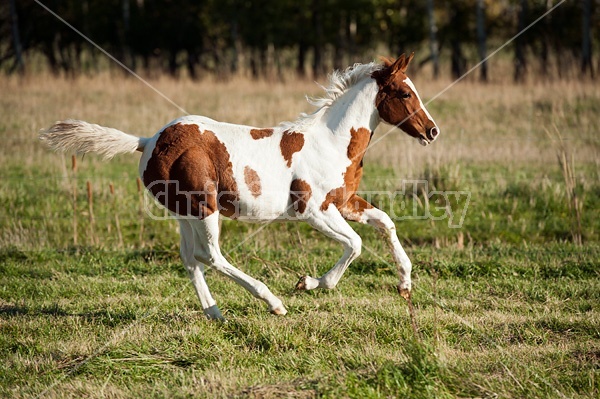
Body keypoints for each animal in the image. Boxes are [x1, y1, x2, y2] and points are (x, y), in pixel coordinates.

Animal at [39, 54, 438, 322]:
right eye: (405, 93)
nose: (432, 131)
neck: (331, 141)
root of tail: (149, 140)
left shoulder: (344, 202)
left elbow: (386, 222)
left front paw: (405, 284)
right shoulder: (314, 211)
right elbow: (354, 245)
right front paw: (308, 283)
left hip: (183, 212)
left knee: (191, 259)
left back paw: (215, 313)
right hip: (205, 206)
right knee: (210, 256)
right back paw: (273, 302)